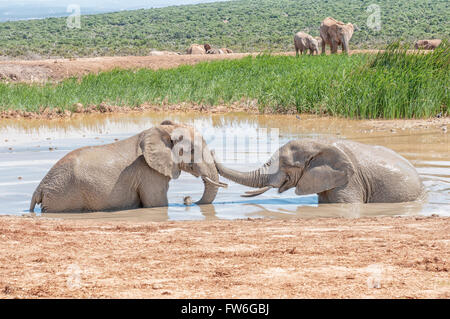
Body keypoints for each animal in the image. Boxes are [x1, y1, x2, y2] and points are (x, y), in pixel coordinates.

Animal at [30, 121, 227, 214]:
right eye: (192, 151)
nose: (187, 199)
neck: (164, 130)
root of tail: (40, 188)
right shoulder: (148, 172)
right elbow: (157, 203)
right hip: (63, 197)